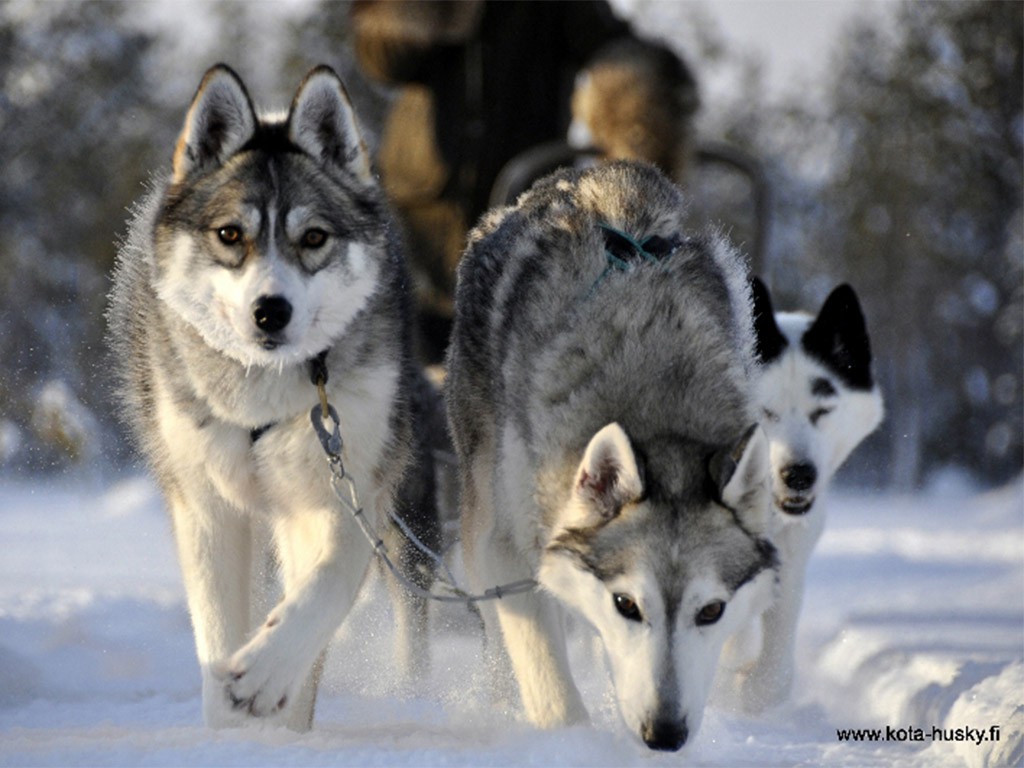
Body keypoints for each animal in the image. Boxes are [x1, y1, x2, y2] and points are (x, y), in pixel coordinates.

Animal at [105, 66, 438, 733]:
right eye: (231, 234)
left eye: (313, 238)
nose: (270, 310)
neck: (261, 396)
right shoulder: (208, 509)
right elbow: (218, 632)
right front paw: (232, 731)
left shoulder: (342, 492)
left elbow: (324, 589)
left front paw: (269, 683)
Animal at [448, 159, 774, 753]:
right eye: (628, 604)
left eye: (710, 611)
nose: (664, 735)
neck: (659, 390)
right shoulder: (507, 551)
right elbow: (548, 682)